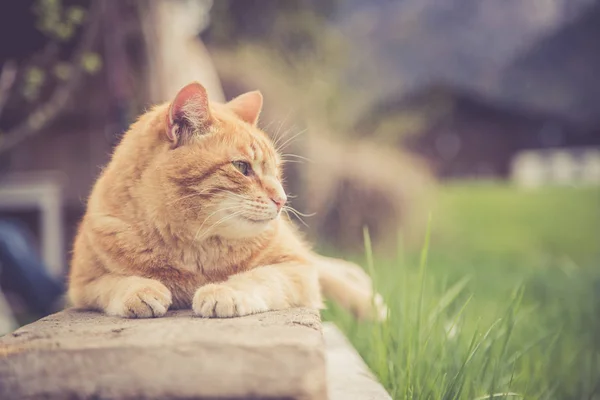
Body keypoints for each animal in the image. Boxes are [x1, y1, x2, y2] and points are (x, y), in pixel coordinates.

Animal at [68, 81, 386, 318]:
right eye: (242, 168)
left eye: (275, 171)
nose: (282, 200)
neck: (193, 250)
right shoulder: (82, 285)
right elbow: (114, 283)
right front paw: (141, 290)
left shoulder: (294, 268)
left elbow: (258, 277)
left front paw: (224, 290)